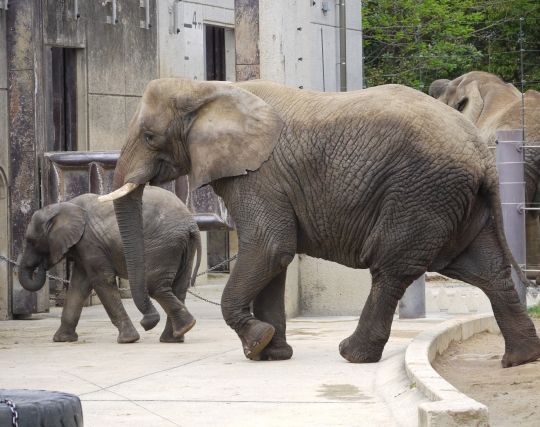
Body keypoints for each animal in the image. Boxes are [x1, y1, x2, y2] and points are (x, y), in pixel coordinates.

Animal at [19, 186, 201, 344]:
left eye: (31, 241)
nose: (42, 264)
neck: (64, 206)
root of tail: (190, 224)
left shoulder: (90, 243)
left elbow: (101, 281)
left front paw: (128, 340)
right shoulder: (85, 248)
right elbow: (79, 285)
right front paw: (62, 339)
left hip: (163, 246)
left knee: (156, 286)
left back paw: (181, 328)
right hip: (182, 246)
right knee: (179, 287)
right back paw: (175, 336)